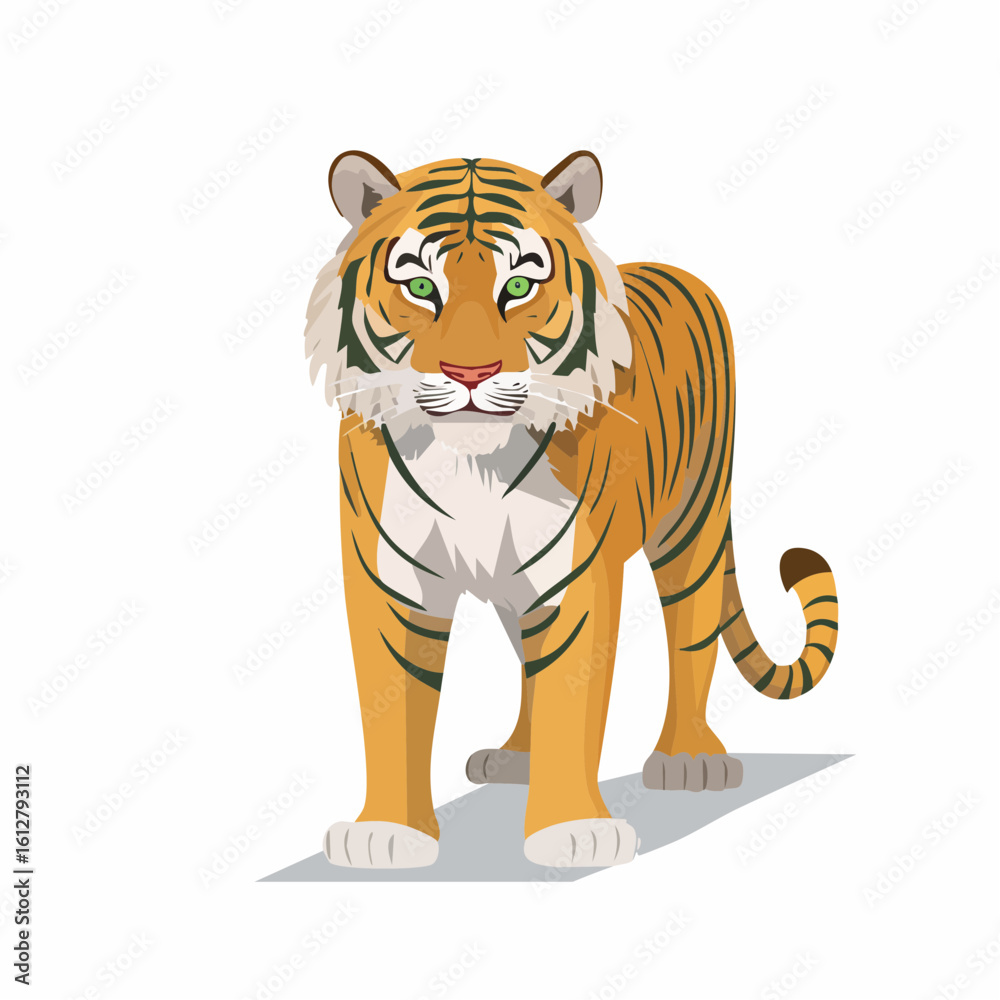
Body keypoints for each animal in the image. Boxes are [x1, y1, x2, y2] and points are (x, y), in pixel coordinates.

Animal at [303, 150, 839, 869]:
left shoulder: (579, 574)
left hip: (691, 522)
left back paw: (689, 759)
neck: (470, 464)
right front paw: (388, 833)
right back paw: (516, 757)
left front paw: (573, 833)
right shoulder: (390, 577)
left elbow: (573, 696)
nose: (470, 374)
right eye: (419, 287)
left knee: (690, 635)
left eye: (518, 286)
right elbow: (393, 707)